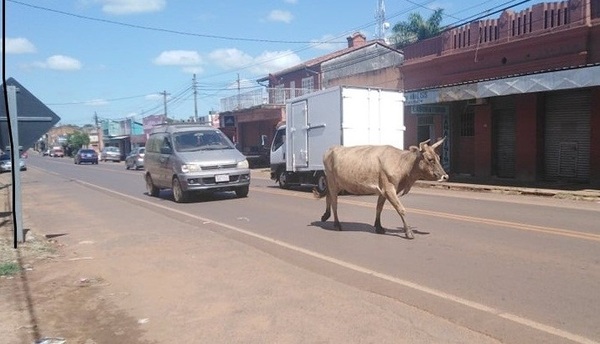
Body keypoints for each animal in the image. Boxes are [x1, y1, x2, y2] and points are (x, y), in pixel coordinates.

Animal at [316, 137, 448, 239]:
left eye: (439, 158)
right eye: (430, 159)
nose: (445, 176)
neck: (402, 164)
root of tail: (331, 149)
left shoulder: (383, 191)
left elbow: (379, 207)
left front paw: (379, 227)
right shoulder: (389, 189)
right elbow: (401, 209)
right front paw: (409, 232)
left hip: (336, 183)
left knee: (328, 195)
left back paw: (325, 215)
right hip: (332, 181)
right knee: (334, 202)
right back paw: (337, 224)